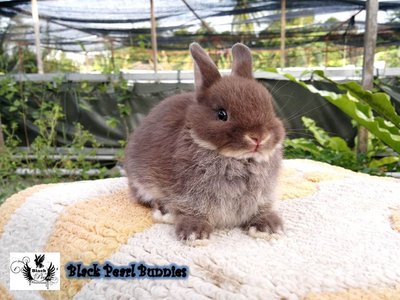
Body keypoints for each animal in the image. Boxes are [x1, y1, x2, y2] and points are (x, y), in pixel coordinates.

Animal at [124, 42, 284, 241]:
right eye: (222, 114)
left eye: (269, 107)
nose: (258, 137)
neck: (240, 160)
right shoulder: (189, 195)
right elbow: (192, 211)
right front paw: (195, 233)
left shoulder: (262, 197)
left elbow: (260, 210)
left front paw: (268, 227)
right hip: (141, 180)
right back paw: (165, 212)